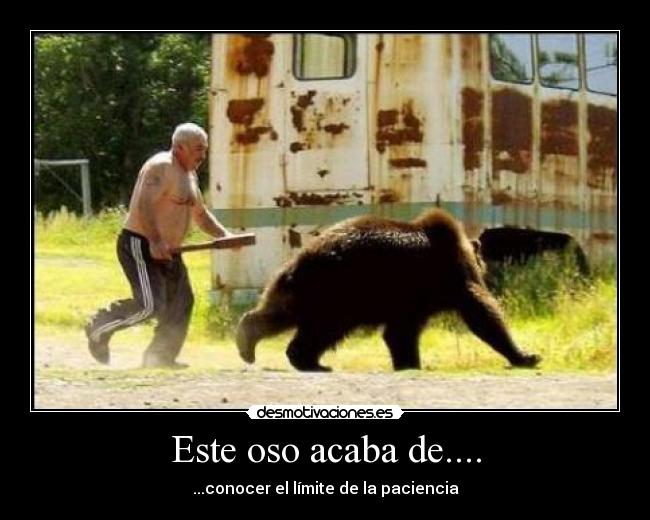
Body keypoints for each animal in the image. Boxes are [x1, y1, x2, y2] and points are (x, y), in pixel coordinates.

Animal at [236, 208, 541, 372]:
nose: (486, 264)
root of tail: (302, 256)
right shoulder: (447, 277)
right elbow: (481, 311)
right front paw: (526, 355)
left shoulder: (411, 298)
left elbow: (399, 333)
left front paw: (408, 362)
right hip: (339, 289)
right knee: (323, 328)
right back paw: (303, 358)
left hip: (307, 288)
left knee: (283, 312)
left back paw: (259, 344)